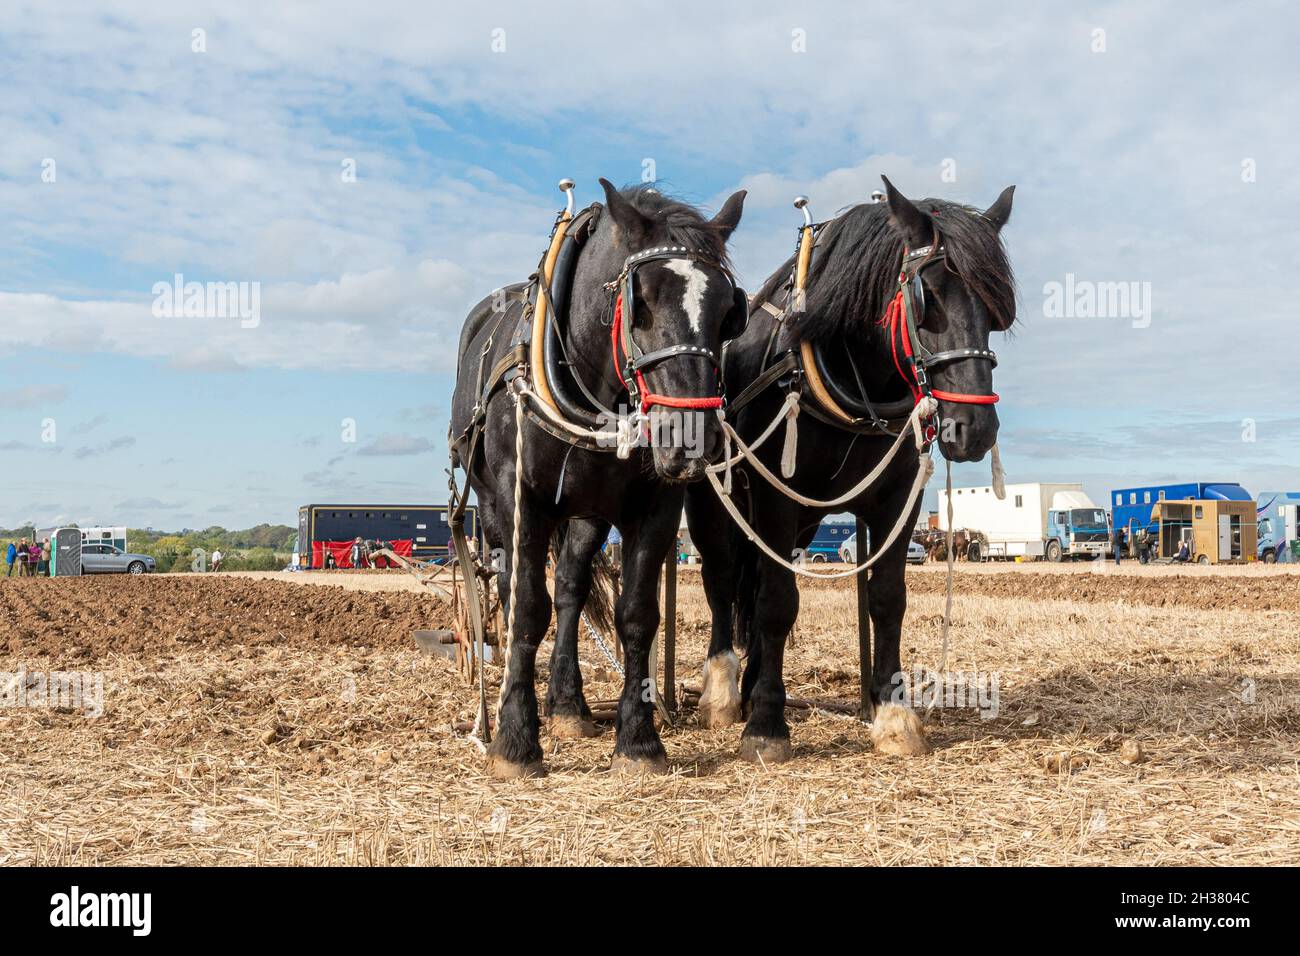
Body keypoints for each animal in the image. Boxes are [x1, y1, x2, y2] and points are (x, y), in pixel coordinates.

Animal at [452, 179, 748, 780]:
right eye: (642, 300)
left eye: (729, 311)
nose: (691, 438)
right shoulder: (522, 501)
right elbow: (526, 610)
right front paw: (515, 741)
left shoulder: (656, 507)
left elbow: (636, 615)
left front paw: (637, 741)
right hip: (493, 507)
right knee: (508, 589)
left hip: (586, 512)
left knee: (569, 588)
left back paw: (568, 705)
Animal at [686, 178, 1019, 764]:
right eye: (927, 296)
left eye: (996, 306)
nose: (975, 427)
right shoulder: (775, 496)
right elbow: (777, 603)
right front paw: (767, 725)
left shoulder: (896, 499)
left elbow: (886, 599)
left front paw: (893, 715)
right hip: (715, 503)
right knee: (723, 581)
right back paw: (725, 694)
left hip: (803, 524)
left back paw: (750, 688)